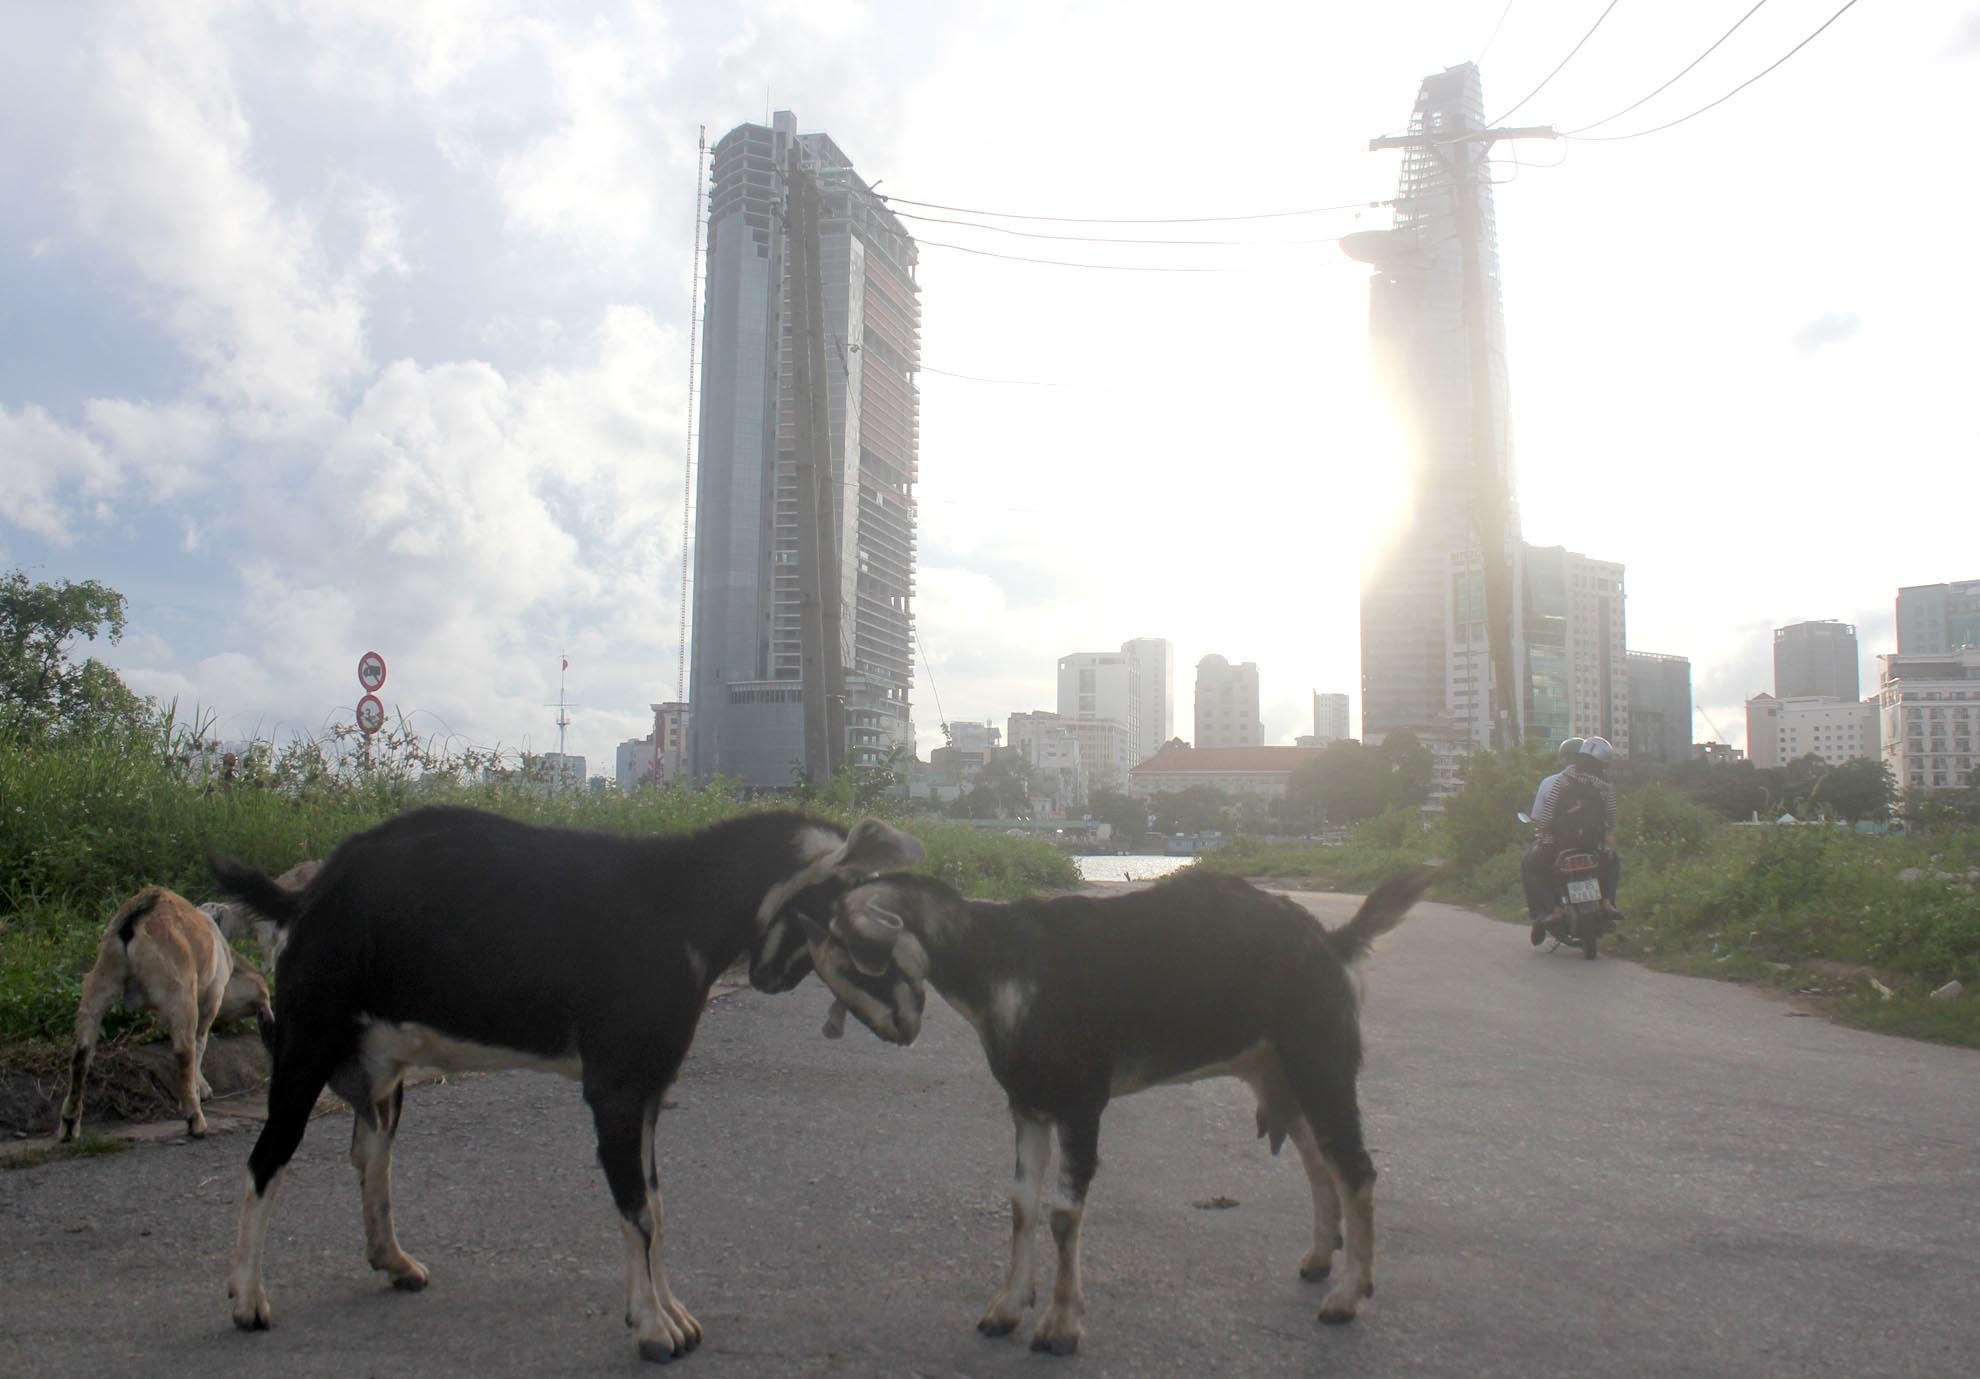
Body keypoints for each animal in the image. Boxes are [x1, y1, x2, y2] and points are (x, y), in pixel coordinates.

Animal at [59, 886, 274, 1142]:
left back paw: (70, 1123)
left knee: (82, 1053)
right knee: (184, 1050)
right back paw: (195, 1119)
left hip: (100, 983)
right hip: (179, 993)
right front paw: (200, 1089)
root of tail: (136, 917)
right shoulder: (210, 998)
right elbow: (200, 1045)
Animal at [206, 805, 921, 1364]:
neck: (678, 910)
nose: (910, 1025)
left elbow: (656, 1205)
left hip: (380, 1063)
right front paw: (654, 1330)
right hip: (306, 1045)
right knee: (267, 1160)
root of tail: (307, 896)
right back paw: (248, 1300)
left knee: (370, 1153)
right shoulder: (615, 1089)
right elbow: (636, 1211)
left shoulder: (651, 1090)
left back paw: (396, 1262)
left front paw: (670, 1315)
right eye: (870, 927)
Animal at [768, 867, 1431, 1354]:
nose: (898, 1031)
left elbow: (1064, 1214)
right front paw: (1006, 1308)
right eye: (828, 974)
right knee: (1321, 1164)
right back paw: (1319, 1261)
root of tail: (1334, 942)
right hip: (1280, 1075)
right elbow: (1021, 1205)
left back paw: (1345, 1299)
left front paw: (1060, 1328)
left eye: (853, 960)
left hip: (1321, 1063)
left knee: (1356, 1168)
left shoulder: (1081, 1103)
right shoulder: (1028, 1106)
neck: (1003, 965)